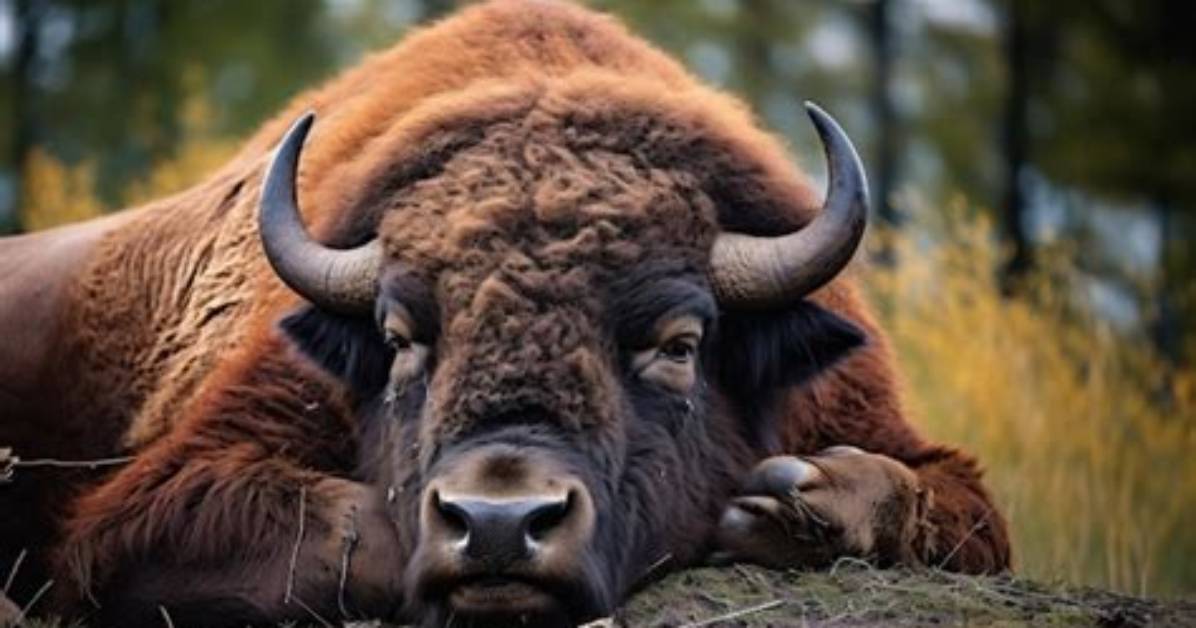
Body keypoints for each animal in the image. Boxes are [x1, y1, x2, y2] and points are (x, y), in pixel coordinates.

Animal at [0, 1, 1009, 626]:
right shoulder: (147, 514)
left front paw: (786, 503)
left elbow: (921, 495)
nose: (497, 523)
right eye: (399, 339)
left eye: (681, 344)